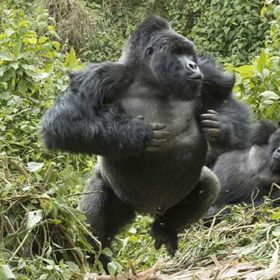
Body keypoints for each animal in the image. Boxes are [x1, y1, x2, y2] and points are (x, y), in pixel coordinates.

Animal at [40, 16, 236, 260]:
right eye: (177, 53)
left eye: (190, 55)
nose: (193, 65)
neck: (152, 82)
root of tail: (147, 210)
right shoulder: (104, 74)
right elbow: (61, 121)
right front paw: (136, 133)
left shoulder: (207, 77)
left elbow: (227, 100)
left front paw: (221, 128)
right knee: (97, 211)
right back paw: (94, 255)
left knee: (209, 184)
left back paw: (164, 230)